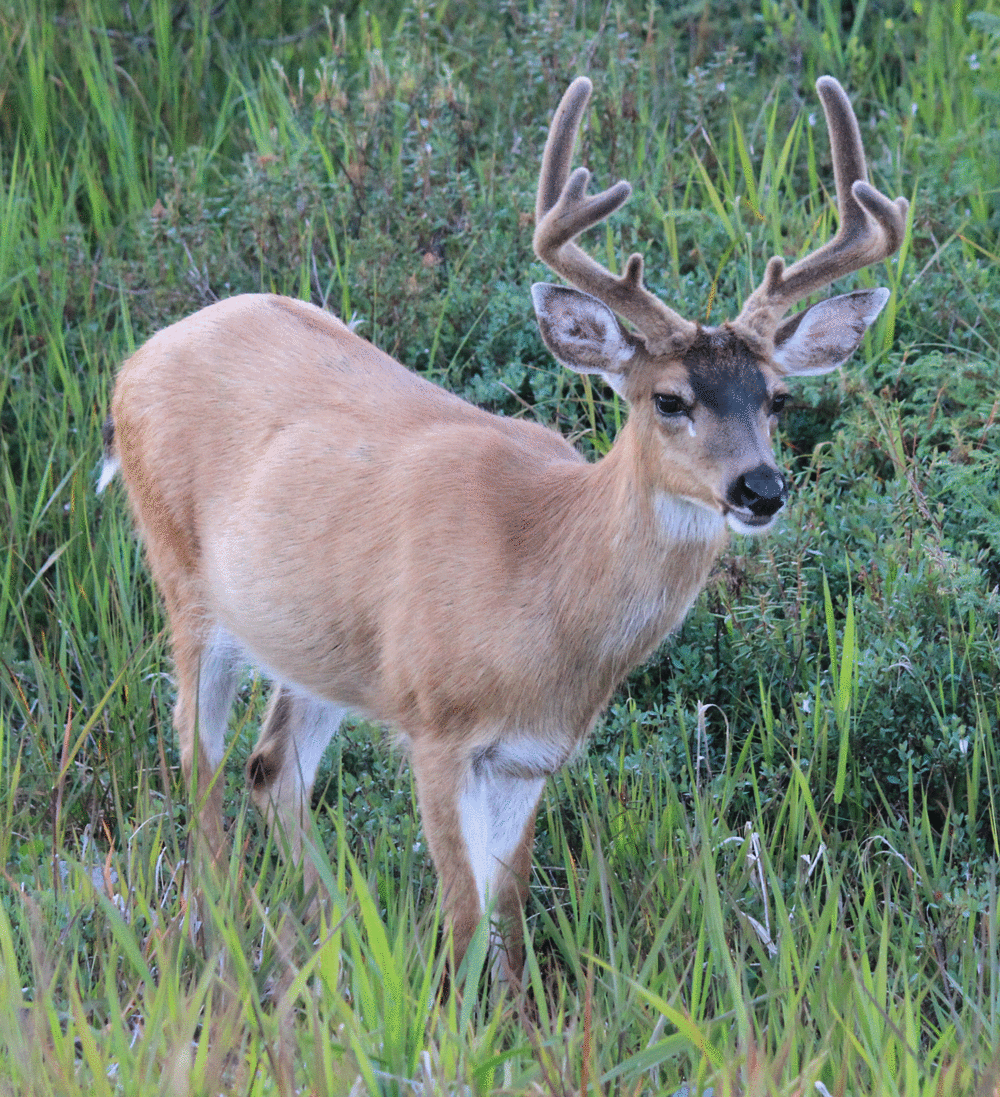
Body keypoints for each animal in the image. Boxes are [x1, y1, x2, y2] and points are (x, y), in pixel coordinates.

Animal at [99, 77, 907, 987]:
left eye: (777, 399)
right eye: (668, 398)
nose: (760, 488)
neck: (540, 577)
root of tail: (134, 362)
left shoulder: (531, 752)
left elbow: (508, 910)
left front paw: (519, 1013)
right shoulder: (436, 723)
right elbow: (461, 914)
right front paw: (451, 1013)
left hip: (313, 642)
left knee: (271, 770)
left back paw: (335, 935)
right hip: (184, 582)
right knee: (197, 764)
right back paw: (220, 945)